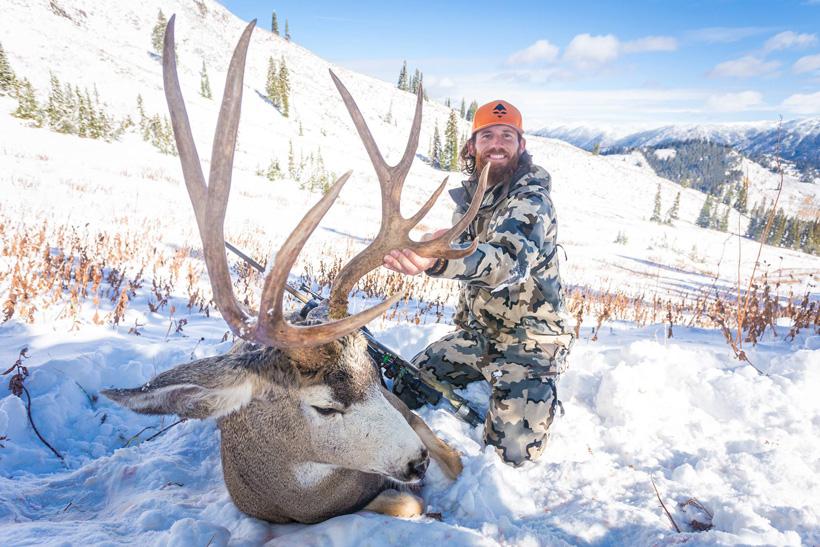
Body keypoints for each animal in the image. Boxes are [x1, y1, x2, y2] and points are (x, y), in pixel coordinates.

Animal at [102, 17, 489, 524]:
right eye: (324, 408)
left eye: (373, 374)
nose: (416, 461)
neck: (302, 499)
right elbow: (404, 500)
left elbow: (435, 473)